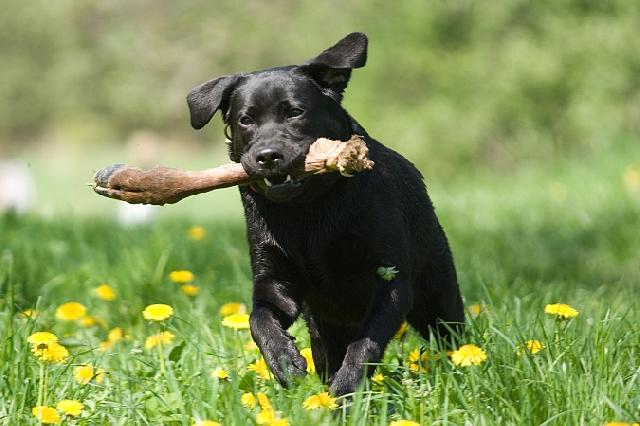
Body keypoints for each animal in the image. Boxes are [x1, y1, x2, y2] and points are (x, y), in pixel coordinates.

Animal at [186, 32, 464, 396]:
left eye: (295, 112)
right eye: (245, 119)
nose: (267, 156)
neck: (306, 211)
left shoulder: (391, 279)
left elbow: (366, 343)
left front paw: (345, 390)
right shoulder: (274, 279)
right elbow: (258, 319)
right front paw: (285, 362)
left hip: (438, 295)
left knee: (451, 334)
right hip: (321, 327)